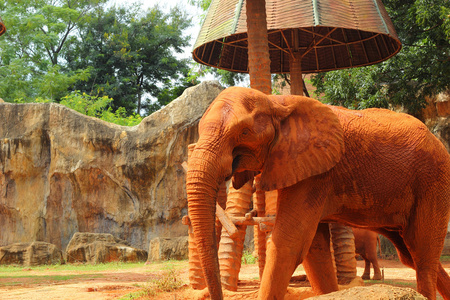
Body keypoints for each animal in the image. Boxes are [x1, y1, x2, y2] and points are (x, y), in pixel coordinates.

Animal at [185, 86, 450, 300]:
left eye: (243, 133)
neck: (275, 102)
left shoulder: (317, 172)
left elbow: (290, 242)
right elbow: (313, 249)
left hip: (433, 181)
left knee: (422, 255)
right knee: (410, 254)